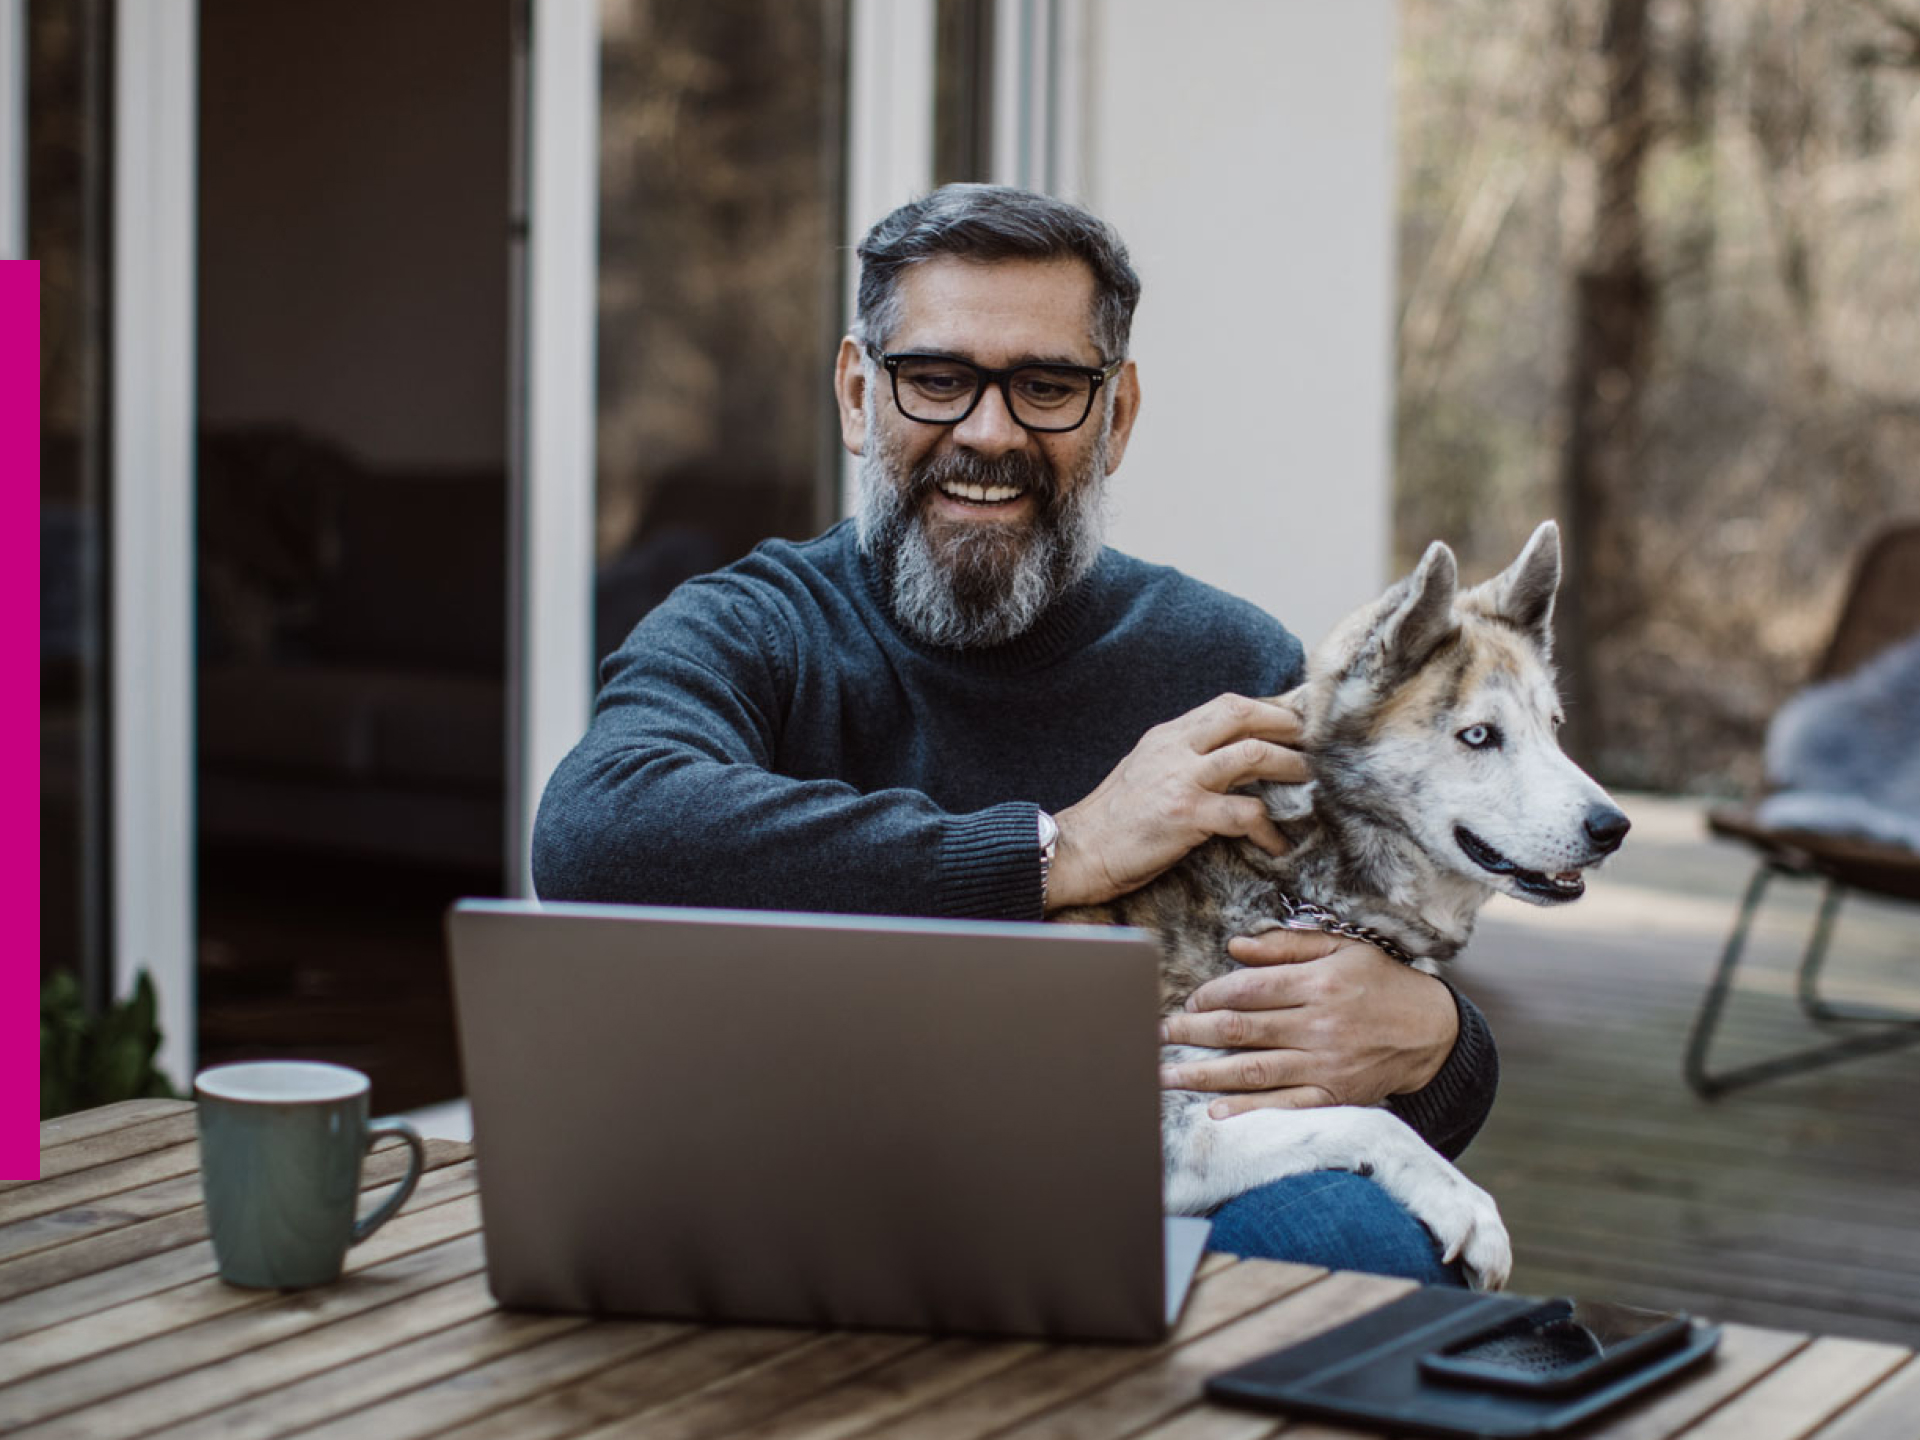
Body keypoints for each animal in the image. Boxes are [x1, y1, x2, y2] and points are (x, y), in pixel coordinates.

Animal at [1059, 526, 1628, 1290]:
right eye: (1479, 735)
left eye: (1554, 727)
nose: (1613, 827)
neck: (1295, 885)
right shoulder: (1165, 1131)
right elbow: (1372, 1120)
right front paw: (1466, 1204)